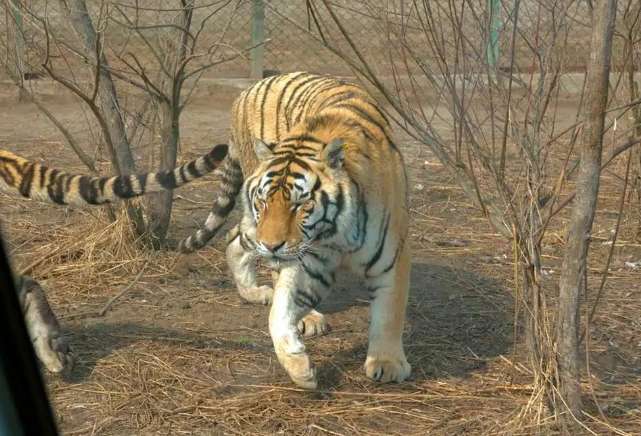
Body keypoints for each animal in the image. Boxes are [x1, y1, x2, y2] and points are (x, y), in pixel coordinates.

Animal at [179, 71, 410, 388]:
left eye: (300, 205)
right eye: (264, 201)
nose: (271, 245)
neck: (334, 233)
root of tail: (245, 92)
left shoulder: (391, 259)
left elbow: (389, 313)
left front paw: (387, 363)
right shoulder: (305, 259)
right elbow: (278, 314)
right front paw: (300, 368)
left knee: (233, 237)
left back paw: (254, 292)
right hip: (257, 227)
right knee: (237, 239)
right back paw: (291, 309)